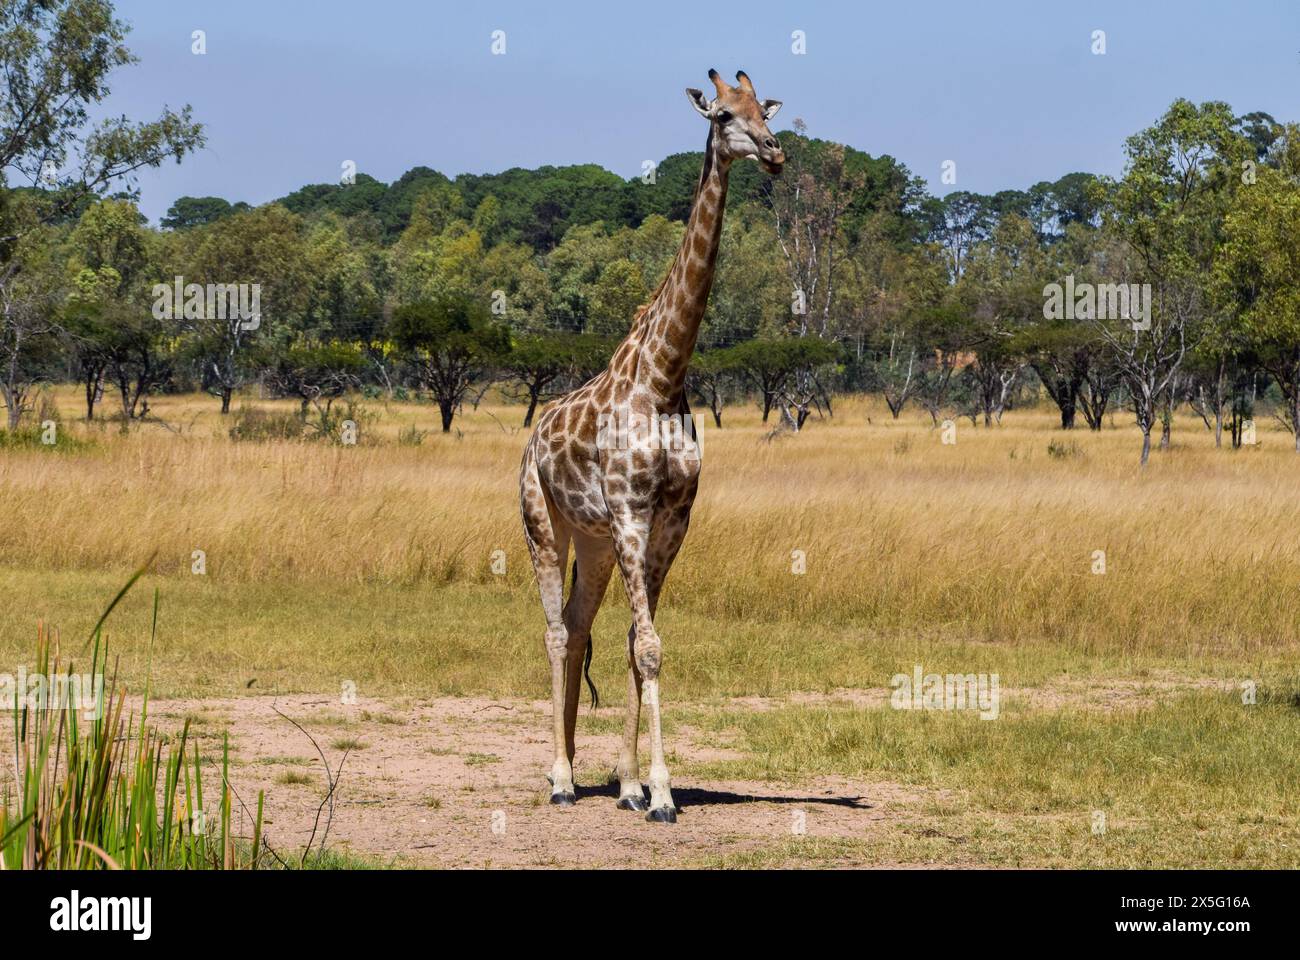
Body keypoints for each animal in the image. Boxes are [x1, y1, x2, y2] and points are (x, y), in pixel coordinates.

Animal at [517, 67, 780, 816]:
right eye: (723, 116)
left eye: (767, 110)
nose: (775, 154)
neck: (664, 377)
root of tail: (533, 436)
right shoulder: (633, 515)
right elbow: (651, 647)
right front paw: (661, 793)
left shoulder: (670, 521)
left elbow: (641, 644)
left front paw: (635, 783)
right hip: (542, 522)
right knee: (554, 630)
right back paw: (560, 778)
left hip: (595, 541)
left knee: (579, 625)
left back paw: (581, 770)